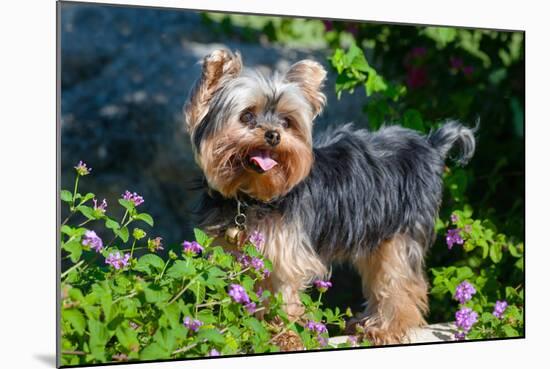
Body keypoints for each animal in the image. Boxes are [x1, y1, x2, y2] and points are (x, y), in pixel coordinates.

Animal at [183, 49, 476, 344]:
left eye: (287, 122)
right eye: (246, 117)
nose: (274, 134)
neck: (252, 196)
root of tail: (431, 146)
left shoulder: (285, 254)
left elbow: (281, 296)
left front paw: (285, 337)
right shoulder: (240, 255)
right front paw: (250, 330)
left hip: (401, 231)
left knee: (400, 280)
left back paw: (385, 328)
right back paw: (365, 323)